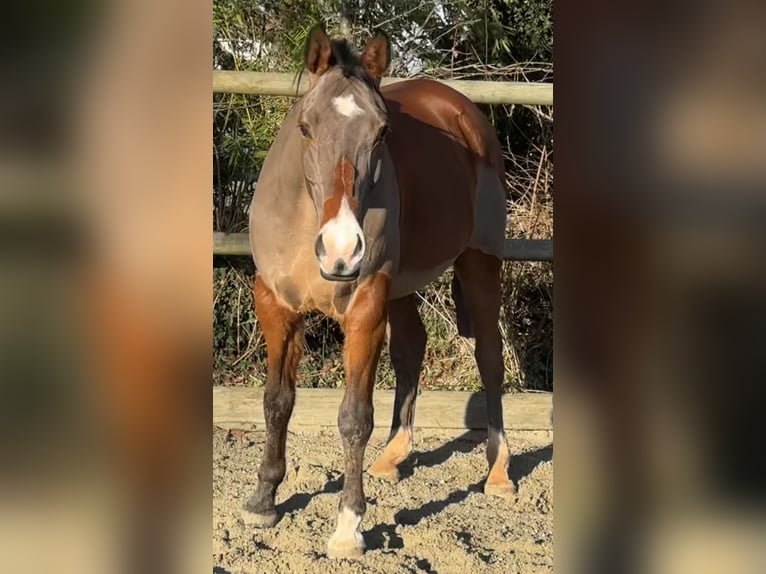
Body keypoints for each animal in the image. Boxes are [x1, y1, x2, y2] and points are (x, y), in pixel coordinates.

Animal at [244, 24, 516, 560]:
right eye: (305, 127)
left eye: (383, 132)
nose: (341, 249)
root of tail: (463, 111)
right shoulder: (276, 306)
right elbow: (276, 400)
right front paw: (264, 497)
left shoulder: (366, 307)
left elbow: (354, 417)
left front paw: (348, 526)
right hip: (403, 286)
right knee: (413, 346)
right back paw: (391, 456)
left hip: (479, 264)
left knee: (490, 358)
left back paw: (498, 472)